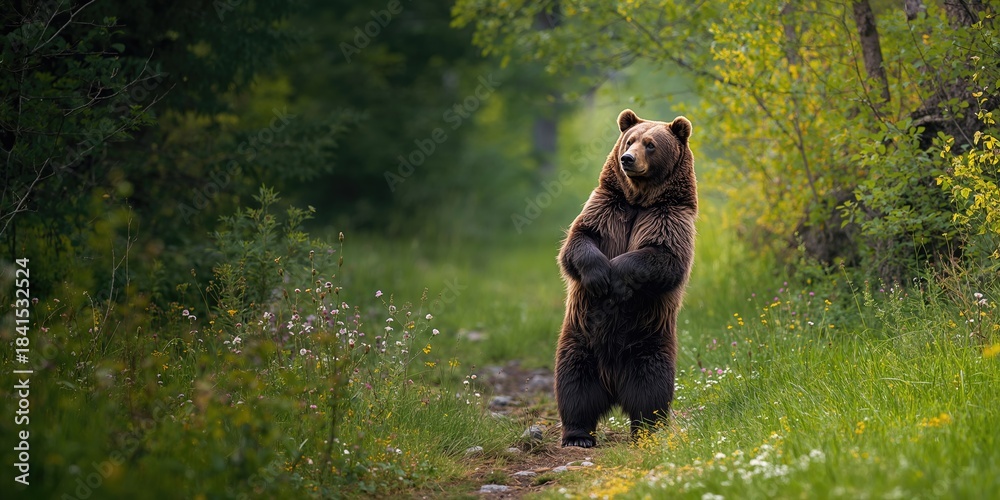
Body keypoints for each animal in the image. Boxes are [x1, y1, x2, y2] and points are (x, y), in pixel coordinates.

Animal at [554, 108, 697, 448]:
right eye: (629, 140)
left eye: (651, 144)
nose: (627, 159)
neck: (640, 200)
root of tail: (613, 384)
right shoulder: (606, 206)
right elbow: (578, 241)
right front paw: (598, 276)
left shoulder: (669, 217)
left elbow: (663, 257)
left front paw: (615, 278)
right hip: (580, 338)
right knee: (574, 384)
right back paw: (578, 434)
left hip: (648, 341)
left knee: (651, 389)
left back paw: (646, 430)